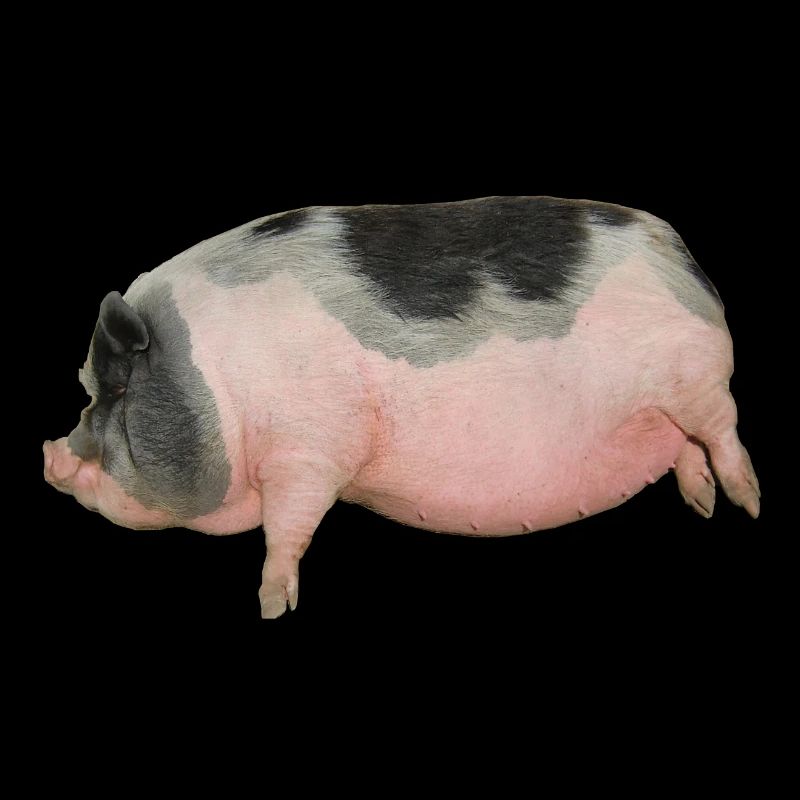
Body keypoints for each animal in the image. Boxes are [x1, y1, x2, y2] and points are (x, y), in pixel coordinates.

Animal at [43, 197, 761, 618]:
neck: (218, 384)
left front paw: (271, 605)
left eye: (115, 391)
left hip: (697, 380)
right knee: (687, 450)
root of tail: (683, 260)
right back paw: (700, 506)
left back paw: (747, 503)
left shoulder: (311, 449)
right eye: (91, 389)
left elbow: (288, 527)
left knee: (722, 435)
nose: (49, 455)